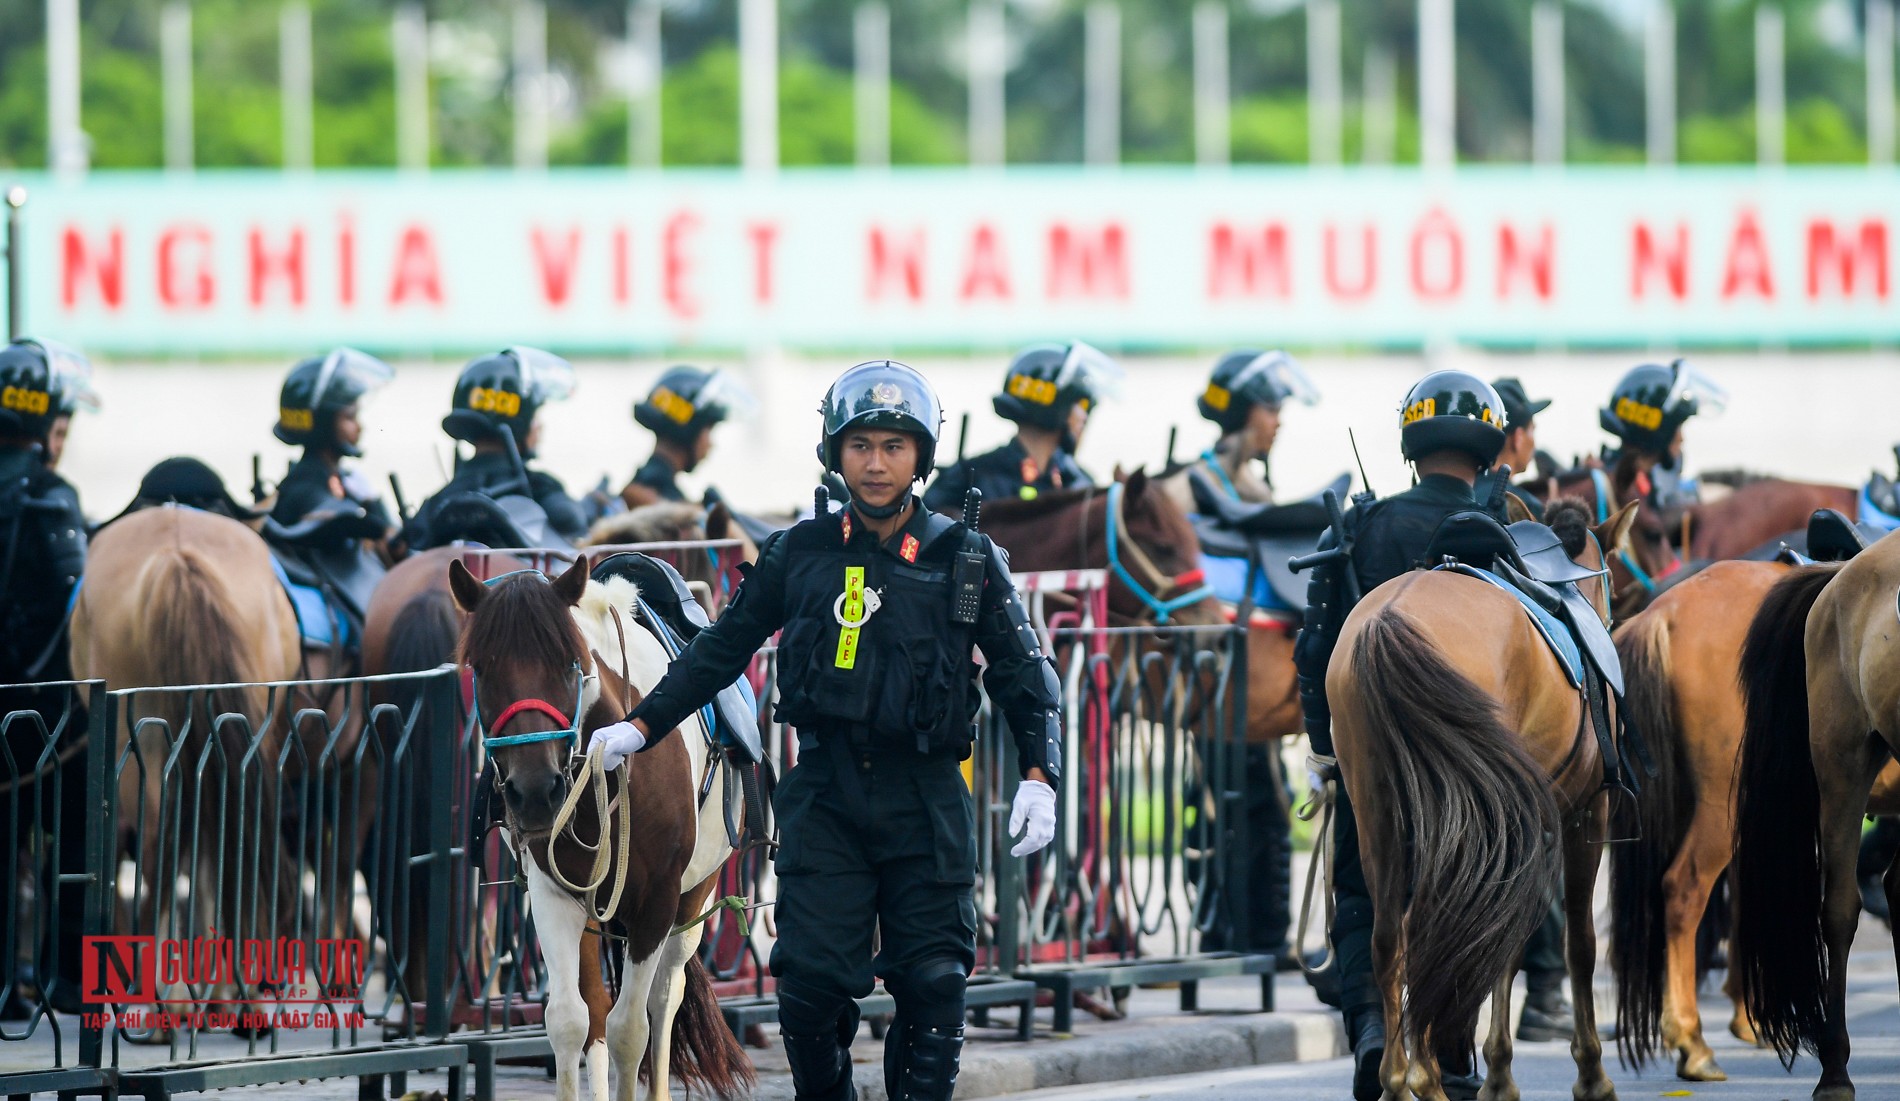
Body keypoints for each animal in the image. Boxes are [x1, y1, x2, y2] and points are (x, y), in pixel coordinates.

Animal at [1330, 498, 1641, 1101]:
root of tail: (1386, 622)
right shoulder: (1581, 815)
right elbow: (1575, 942)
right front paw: (1584, 1074)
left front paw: (1494, 1072)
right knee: (1435, 932)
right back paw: (1426, 1077)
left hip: (1379, 815)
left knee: (1390, 940)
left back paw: (1401, 1078)